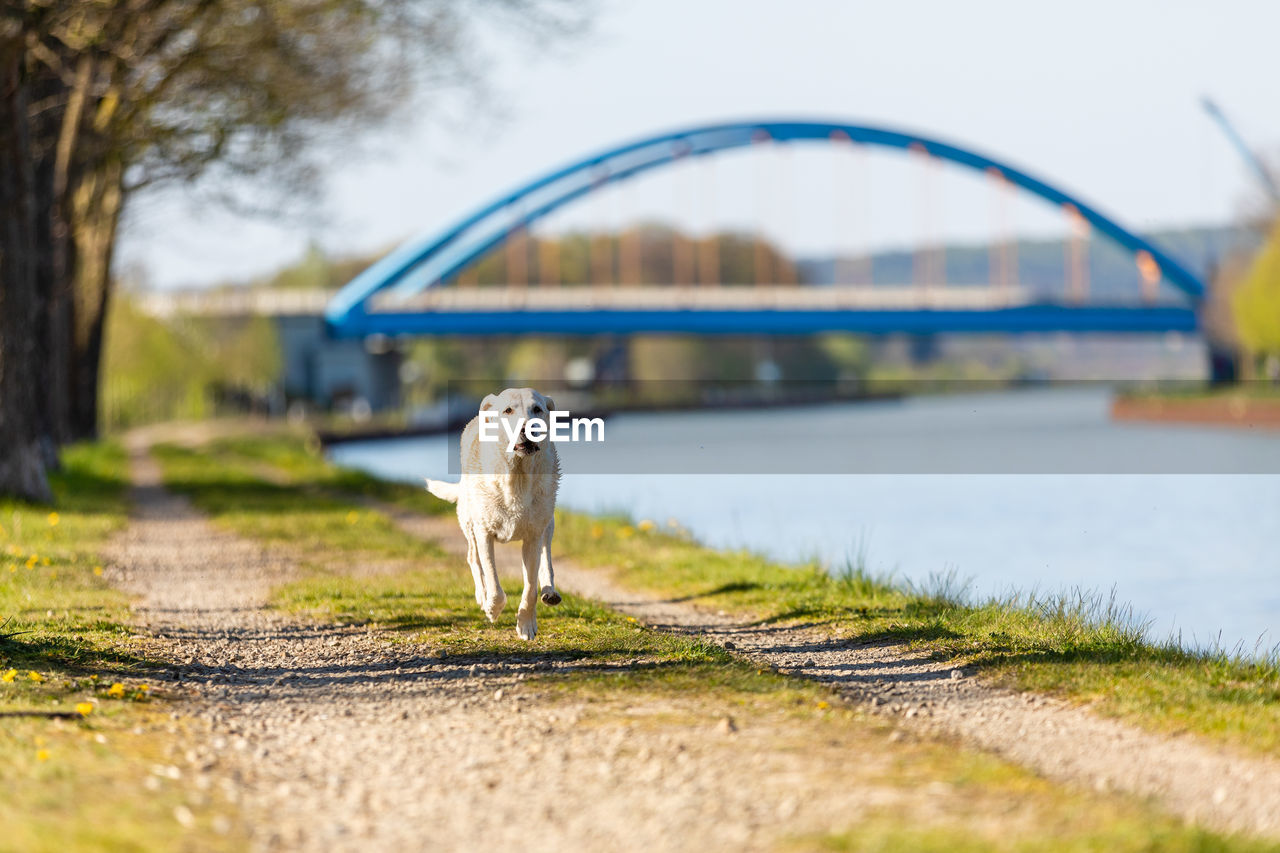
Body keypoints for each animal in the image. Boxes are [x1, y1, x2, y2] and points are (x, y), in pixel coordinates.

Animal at [424, 386, 560, 637]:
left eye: (537, 409)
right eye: (507, 410)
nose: (528, 428)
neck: (517, 476)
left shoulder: (532, 536)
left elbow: (530, 587)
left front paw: (526, 623)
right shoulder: (484, 533)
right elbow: (493, 582)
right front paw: (492, 608)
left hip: (548, 520)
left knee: (546, 556)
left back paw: (550, 591)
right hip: (469, 524)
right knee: (473, 559)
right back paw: (481, 596)